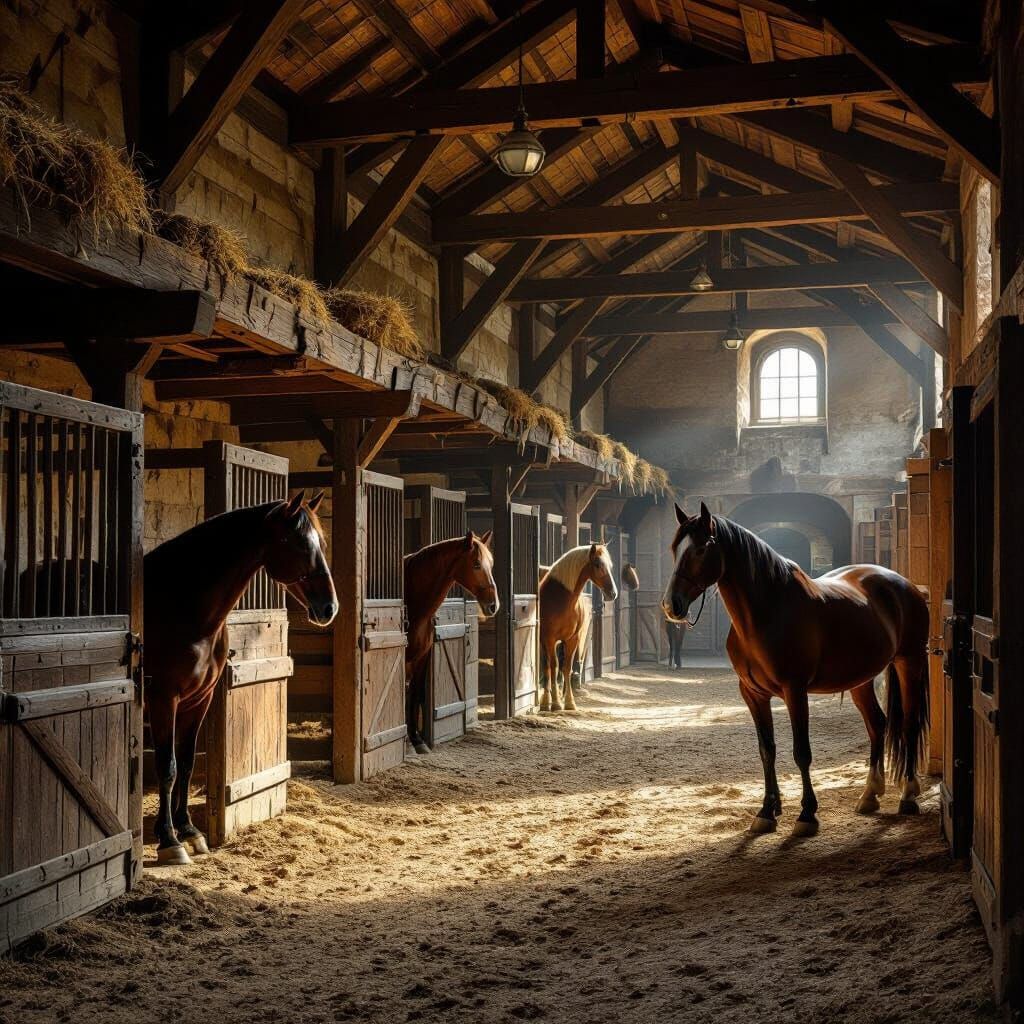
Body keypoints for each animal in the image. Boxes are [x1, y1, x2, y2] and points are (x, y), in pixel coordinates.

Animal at [144, 491, 337, 864]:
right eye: (298, 544)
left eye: (322, 542)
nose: (329, 608)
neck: (181, 604)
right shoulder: (163, 698)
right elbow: (168, 766)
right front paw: (169, 840)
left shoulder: (199, 699)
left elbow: (186, 763)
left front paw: (188, 830)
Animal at [404, 531, 498, 754]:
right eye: (476, 564)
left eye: (491, 563)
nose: (493, 605)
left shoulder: (422, 658)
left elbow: (415, 694)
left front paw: (417, 740)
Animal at [539, 544, 618, 712]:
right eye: (598, 564)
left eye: (610, 565)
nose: (613, 593)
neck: (562, 599)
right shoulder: (549, 639)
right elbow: (554, 667)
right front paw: (556, 703)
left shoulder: (572, 639)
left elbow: (567, 668)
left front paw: (569, 702)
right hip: (544, 642)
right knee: (547, 667)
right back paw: (546, 702)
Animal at [662, 502, 930, 837]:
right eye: (675, 548)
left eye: (700, 549)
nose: (671, 606)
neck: (768, 611)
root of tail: (903, 583)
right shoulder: (753, 694)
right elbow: (767, 749)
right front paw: (767, 812)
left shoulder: (795, 690)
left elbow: (801, 751)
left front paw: (806, 815)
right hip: (862, 678)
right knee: (877, 725)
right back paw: (870, 795)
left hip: (909, 662)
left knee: (908, 725)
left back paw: (908, 795)